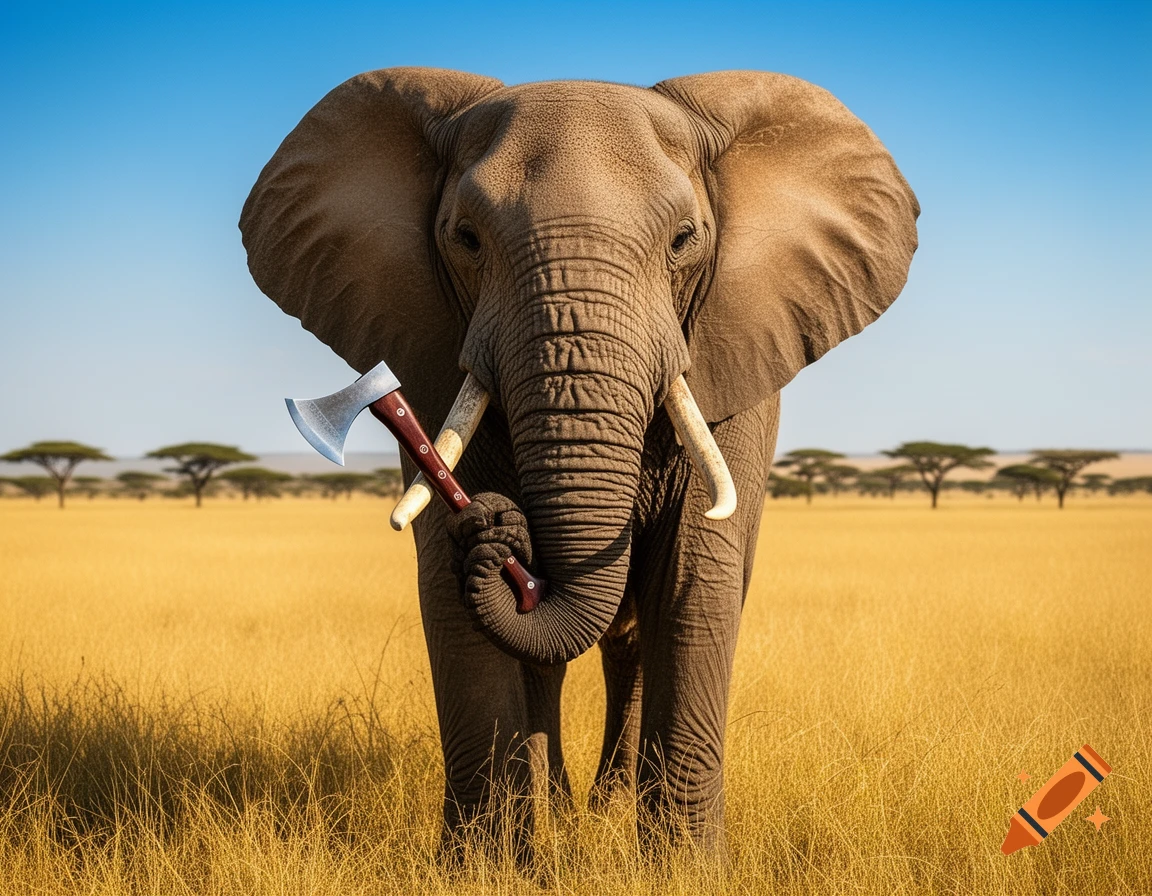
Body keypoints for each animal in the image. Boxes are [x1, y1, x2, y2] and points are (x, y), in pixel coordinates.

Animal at [240, 67, 918, 861]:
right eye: (465, 238)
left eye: (685, 240)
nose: (500, 526)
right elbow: (448, 592)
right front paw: (486, 869)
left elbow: (693, 584)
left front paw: (684, 870)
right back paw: (563, 811)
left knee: (632, 640)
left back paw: (603, 807)